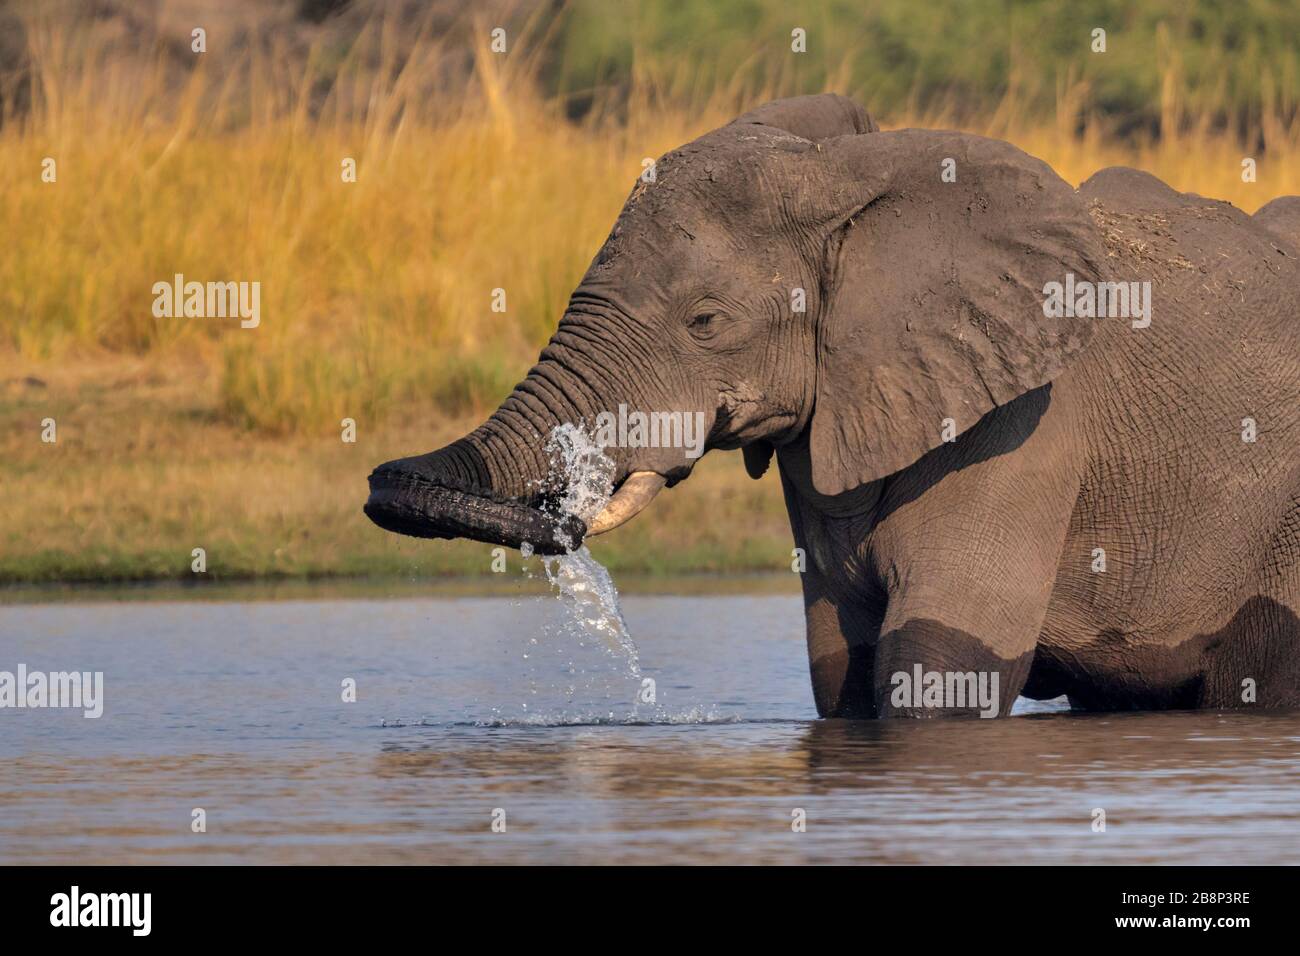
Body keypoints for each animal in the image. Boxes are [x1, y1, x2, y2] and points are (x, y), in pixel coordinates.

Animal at [364, 95, 1300, 717]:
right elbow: (837, 665)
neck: (857, 182)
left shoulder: (1024, 428)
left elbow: (940, 663)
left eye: (706, 322)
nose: (563, 521)